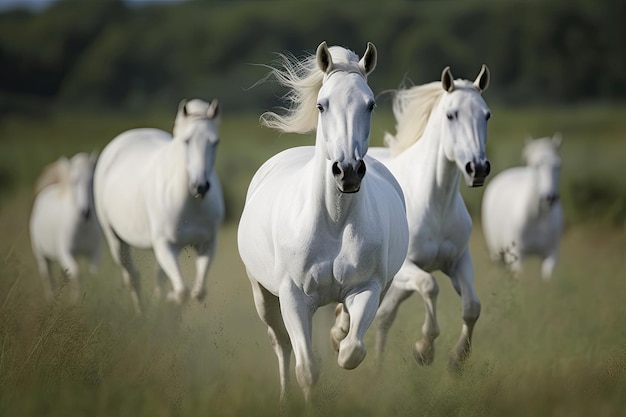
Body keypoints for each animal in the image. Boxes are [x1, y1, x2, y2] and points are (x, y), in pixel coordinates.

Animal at [29, 151, 100, 300]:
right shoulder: (65, 252)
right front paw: (76, 299)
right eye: (74, 181)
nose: (85, 212)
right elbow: (76, 273)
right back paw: (51, 299)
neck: (82, 229)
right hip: (42, 256)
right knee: (47, 276)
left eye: (92, 180)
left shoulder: (94, 252)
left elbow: (93, 273)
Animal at [94, 98, 225, 312]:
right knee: (133, 277)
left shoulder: (207, 244)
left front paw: (167, 303)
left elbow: (197, 292)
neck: (190, 203)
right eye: (186, 140)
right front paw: (168, 301)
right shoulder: (165, 245)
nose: (201, 186)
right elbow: (181, 291)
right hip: (116, 240)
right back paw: (142, 313)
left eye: (215, 142)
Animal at [236, 40, 408, 404]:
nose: (348, 171)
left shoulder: (367, 288)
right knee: (282, 345)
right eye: (321, 105)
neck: (333, 220)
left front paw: (340, 338)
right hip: (264, 296)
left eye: (370, 104)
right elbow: (307, 368)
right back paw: (284, 398)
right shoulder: (293, 298)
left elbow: (352, 350)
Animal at [366, 65, 492, 370]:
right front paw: (424, 350)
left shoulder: (458, 261)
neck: (435, 203)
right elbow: (430, 285)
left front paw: (457, 359)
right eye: (451, 115)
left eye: (486, 114)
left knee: (383, 316)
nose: (478, 168)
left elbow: (472, 306)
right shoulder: (406, 268)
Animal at [480, 135, 564, 280]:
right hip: (497, 254)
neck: (538, 218)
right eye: (536, 165)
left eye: (558, 165)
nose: (549, 198)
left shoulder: (550, 255)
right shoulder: (518, 256)